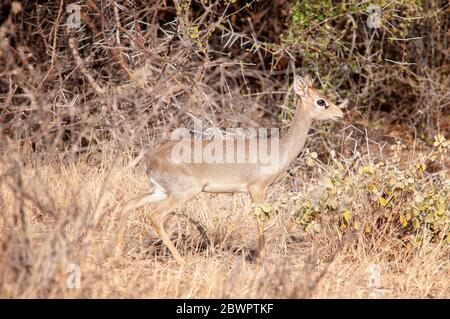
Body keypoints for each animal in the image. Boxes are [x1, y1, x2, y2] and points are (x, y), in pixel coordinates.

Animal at [118, 75, 344, 264]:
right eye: (321, 101)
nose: (340, 114)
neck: (278, 148)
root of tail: (149, 159)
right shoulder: (257, 189)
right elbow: (261, 222)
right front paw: (261, 258)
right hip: (183, 193)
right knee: (155, 216)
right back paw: (181, 261)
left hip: (159, 191)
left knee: (128, 204)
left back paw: (119, 252)